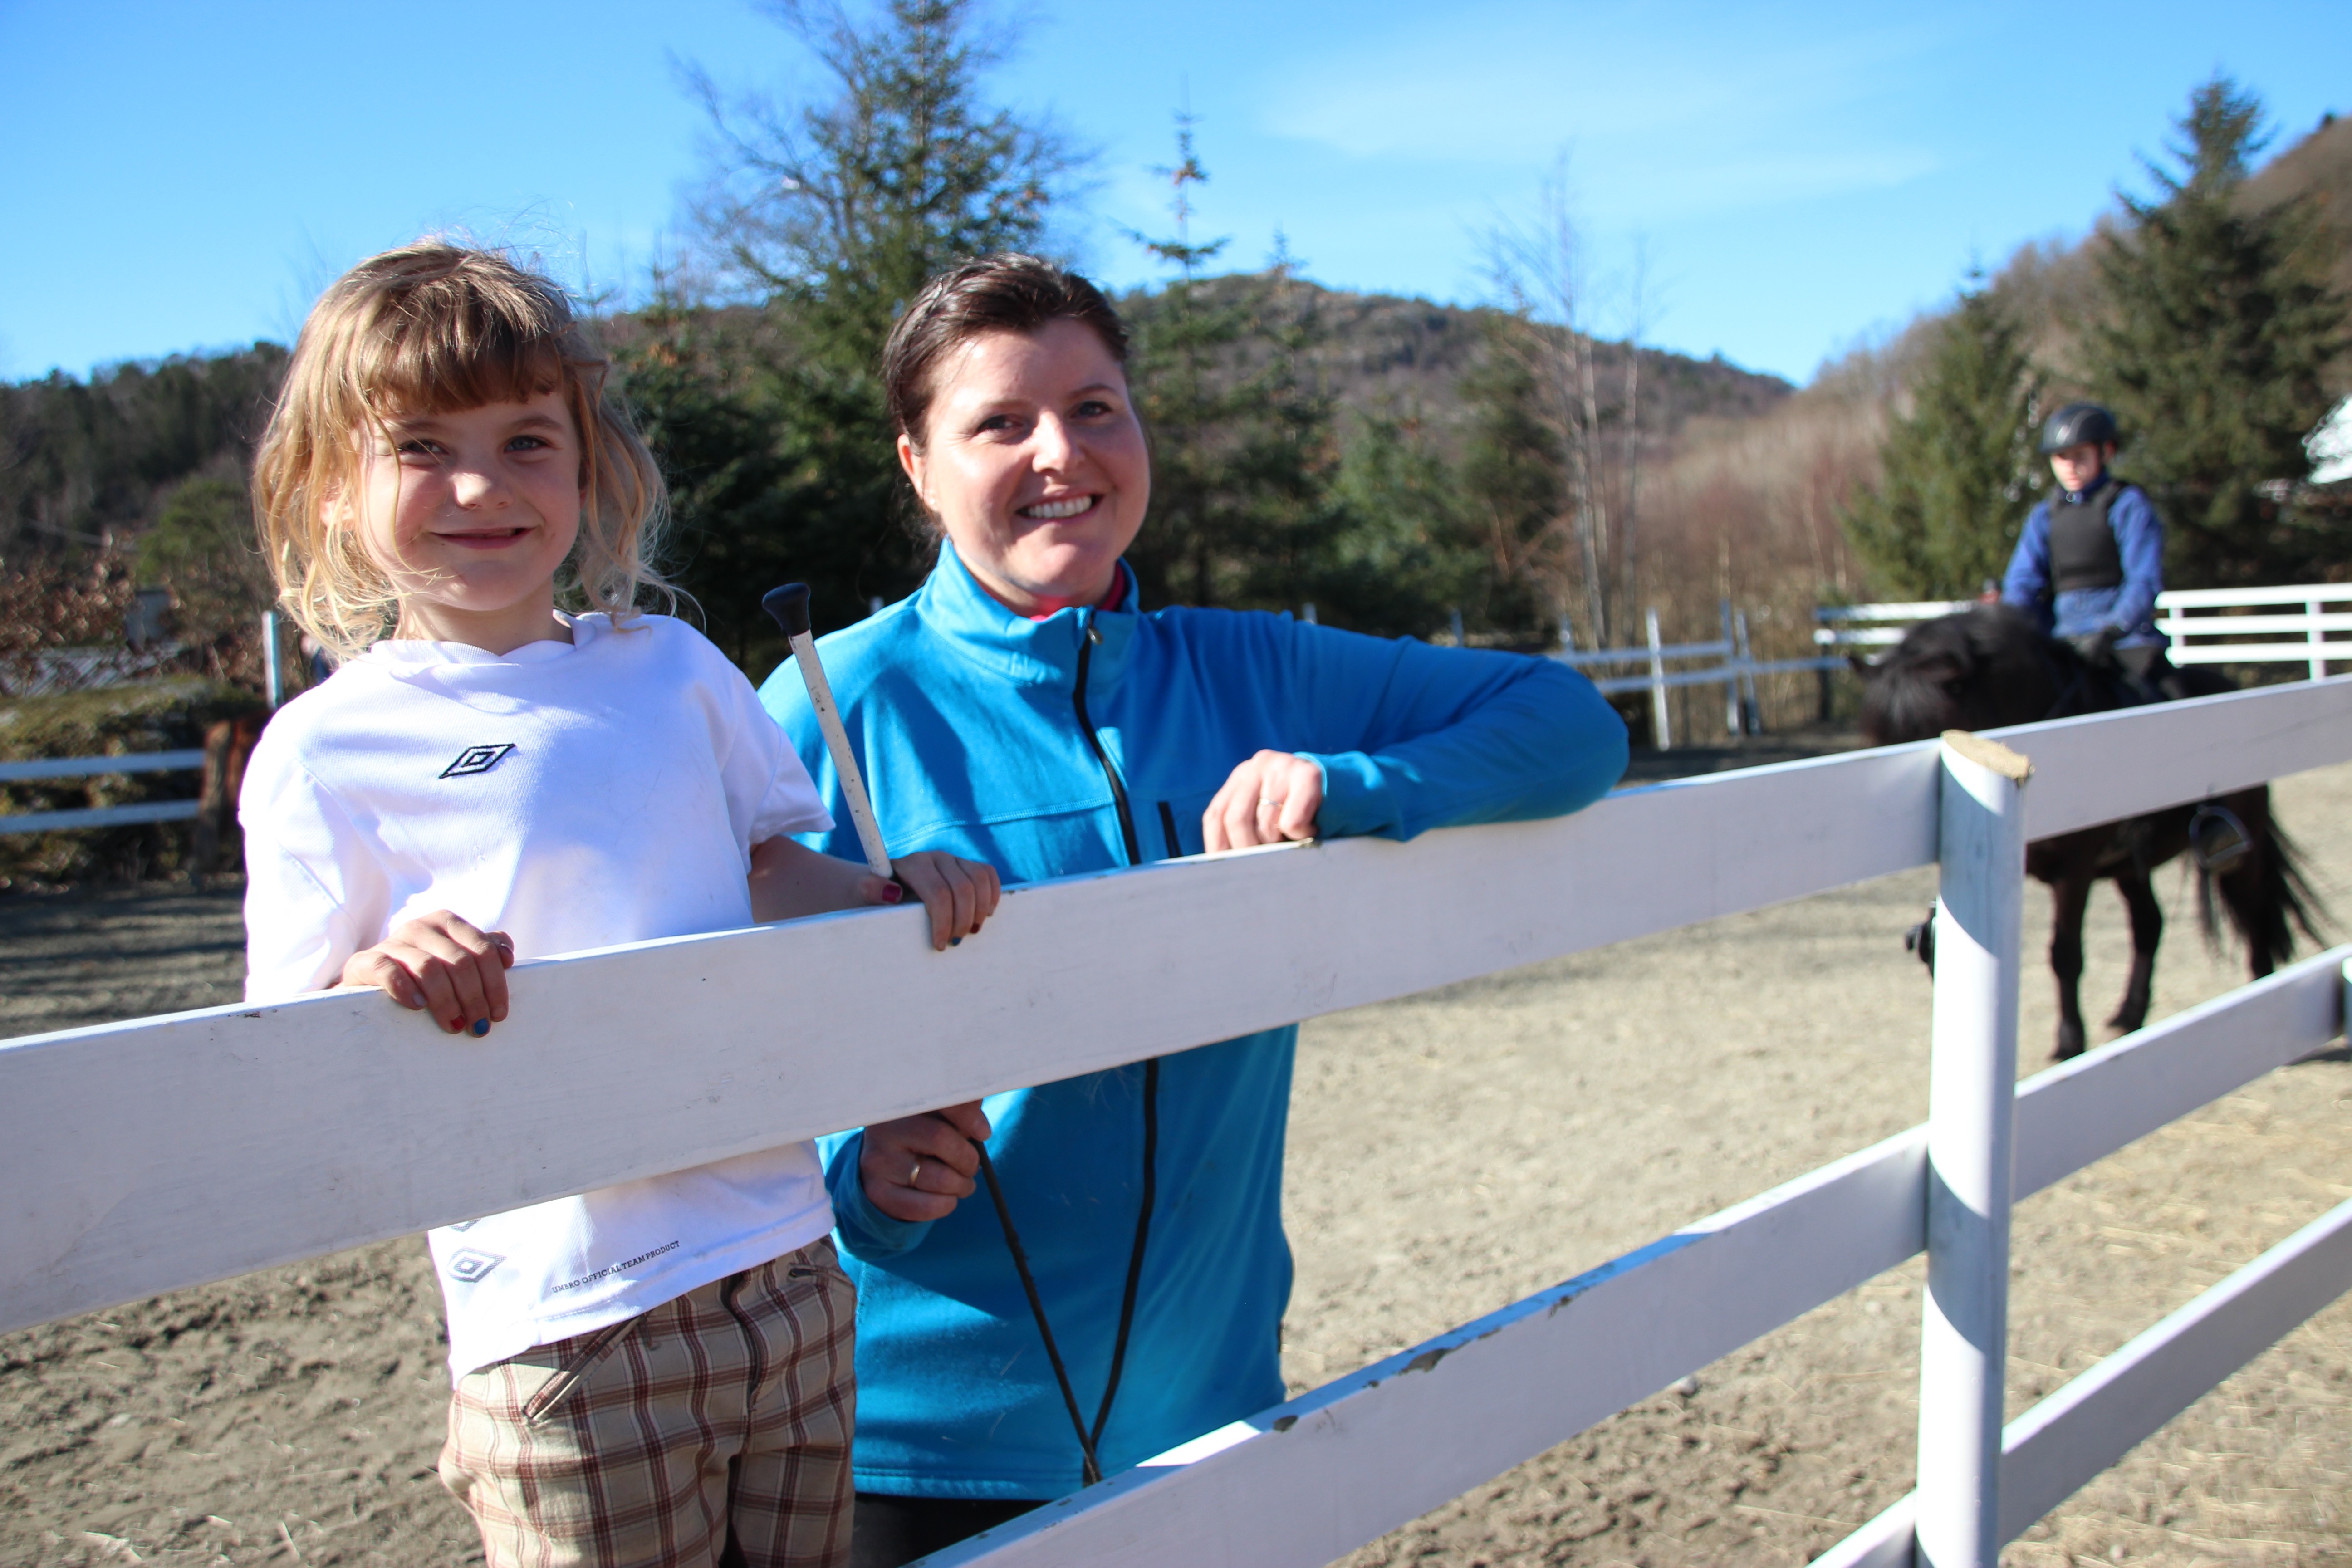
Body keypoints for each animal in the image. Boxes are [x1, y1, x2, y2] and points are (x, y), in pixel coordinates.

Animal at [1858, 605, 2324, 1061]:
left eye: (1924, 731)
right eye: (1879, 738)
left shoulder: (2075, 869)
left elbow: (2064, 955)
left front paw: (2069, 1043)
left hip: (2240, 847)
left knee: (2254, 912)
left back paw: (2262, 994)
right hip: (2131, 866)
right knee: (2150, 925)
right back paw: (2129, 1016)